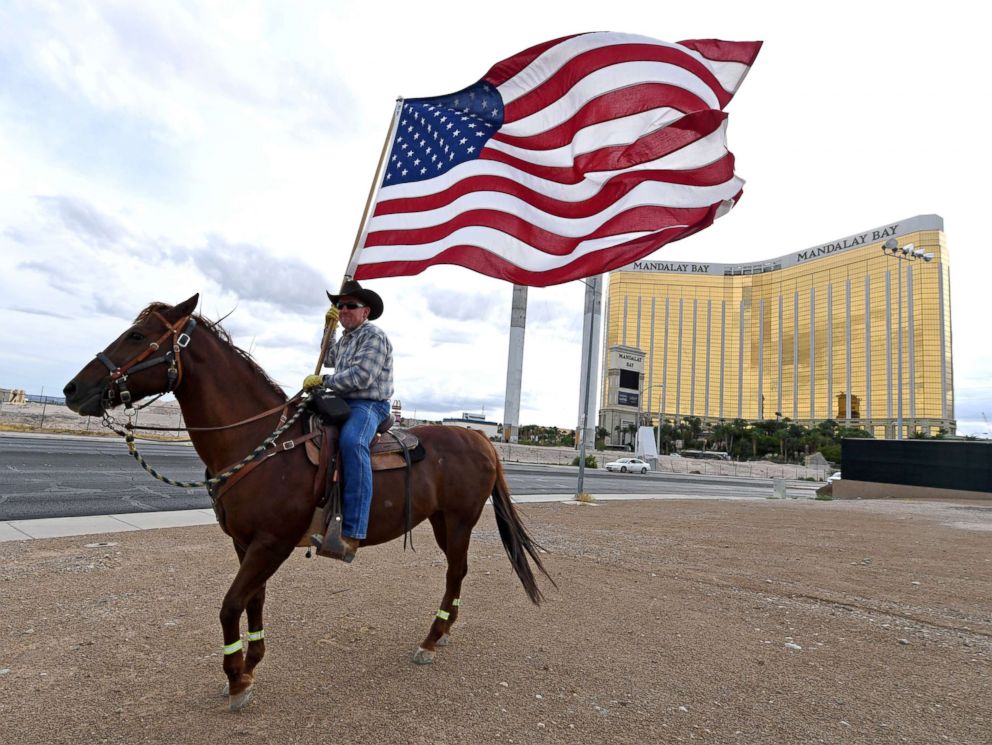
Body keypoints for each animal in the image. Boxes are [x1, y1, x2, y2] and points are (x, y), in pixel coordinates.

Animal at [63, 290, 556, 708]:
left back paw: (431, 639)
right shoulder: (246, 543)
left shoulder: (272, 542)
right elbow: (253, 601)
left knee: (456, 572)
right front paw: (251, 664)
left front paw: (236, 679)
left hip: (458, 521)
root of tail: (482, 438)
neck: (260, 442)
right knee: (457, 574)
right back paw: (445, 630)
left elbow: (230, 605)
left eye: (137, 335)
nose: (72, 389)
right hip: (438, 520)